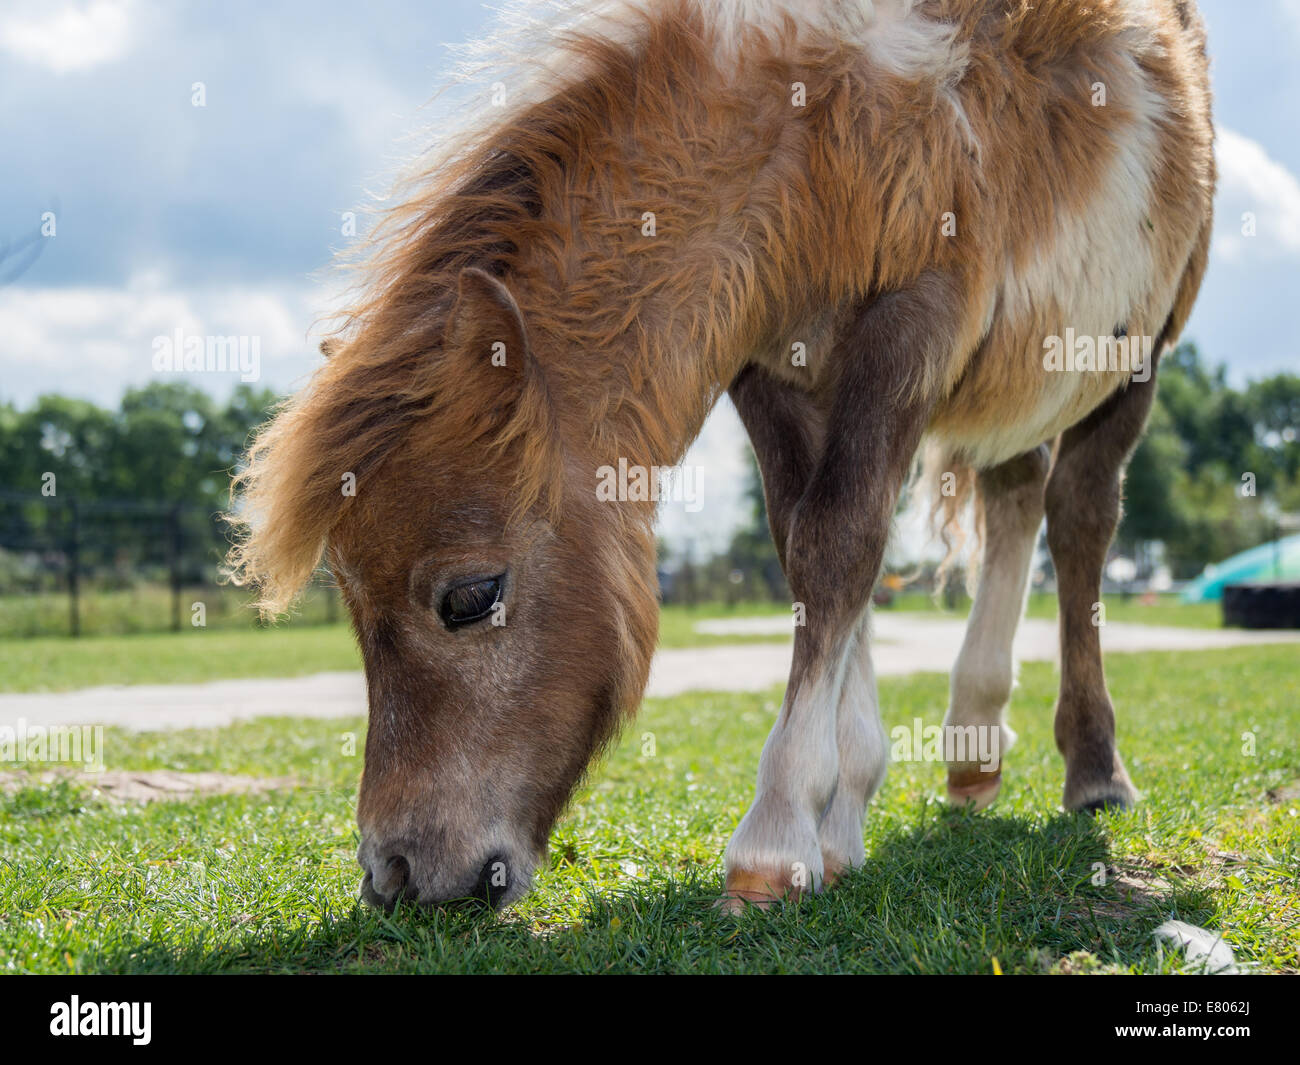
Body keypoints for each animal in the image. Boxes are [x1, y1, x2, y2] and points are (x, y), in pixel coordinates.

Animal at [223, 0, 1206, 910]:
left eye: (469, 596)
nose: (394, 871)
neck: (819, 126)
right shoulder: (768, 364)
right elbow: (813, 549)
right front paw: (841, 819)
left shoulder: (911, 324)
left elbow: (840, 548)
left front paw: (776, 840)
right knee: (1015, 492)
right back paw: (972, 749)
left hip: (1135, 353)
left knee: (1079, 517)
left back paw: (1094, 769)